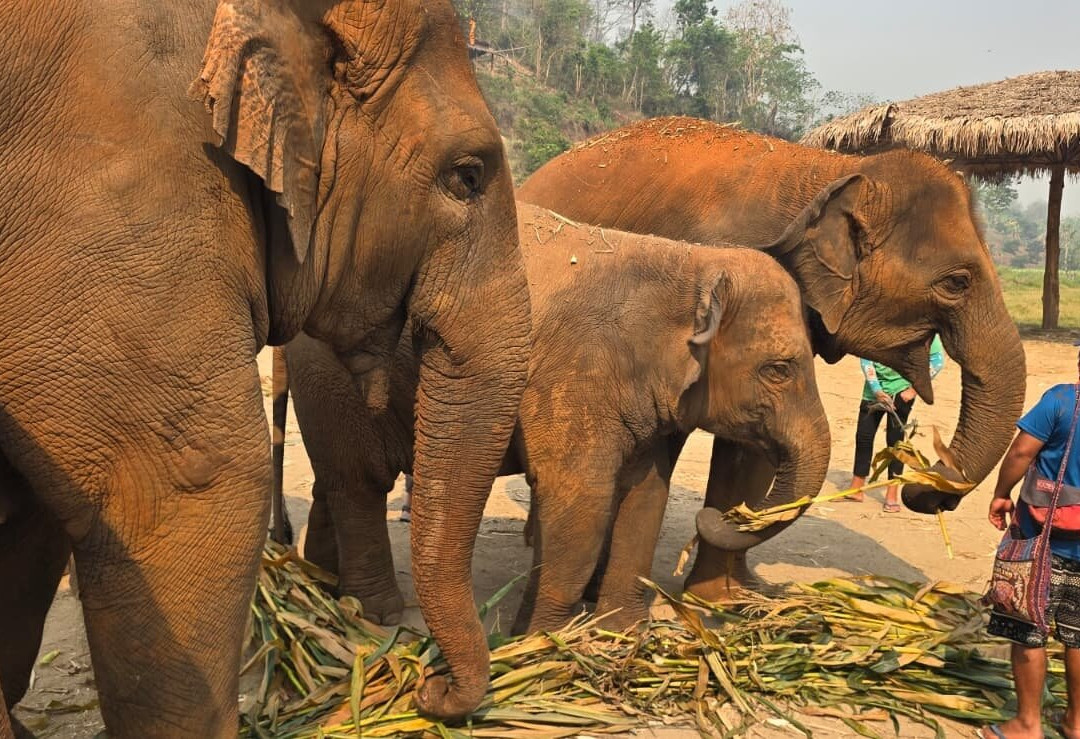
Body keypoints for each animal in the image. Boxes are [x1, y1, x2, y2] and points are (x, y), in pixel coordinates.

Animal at [274, 202, 829, 635]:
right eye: (779, 369)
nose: (716, 516)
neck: (689, 261)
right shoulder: (573, 369)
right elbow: (581, 498)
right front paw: (541, 640)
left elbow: (645, 497)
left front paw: (622, 632)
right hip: (335, 375)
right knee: (360, 482)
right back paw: (377, 614)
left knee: (334, 477)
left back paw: (325, 584)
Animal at [517, 115, 1026, 603]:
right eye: (956, 282)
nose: (923, 490)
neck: (832, 171)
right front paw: (713, 599)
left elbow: (759, 446)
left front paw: (734, 596)